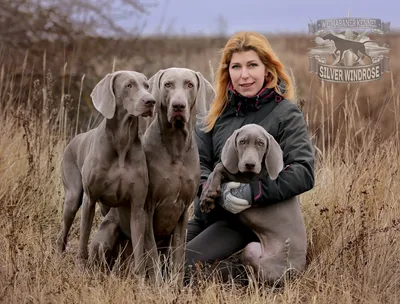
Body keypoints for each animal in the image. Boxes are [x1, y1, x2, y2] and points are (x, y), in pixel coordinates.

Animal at [88, 67, 216, 284]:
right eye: (168, 85)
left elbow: (178, 258)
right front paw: (158, 286)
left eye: (190, 84)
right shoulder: (147, 209)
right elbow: (152, 256)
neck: (176, 147)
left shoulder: (182, 213)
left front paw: (175, 287)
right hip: (106, 235)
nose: (178, 106)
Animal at [199, 123, 306, 282]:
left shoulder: (246, 179)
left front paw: (209, 194)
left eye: (261, 144)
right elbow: (220, 167)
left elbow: (222, 167)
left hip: (256, 255)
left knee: (255, 273)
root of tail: (298, 272)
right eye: (242, 142)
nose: (250, 164)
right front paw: (206, 195)